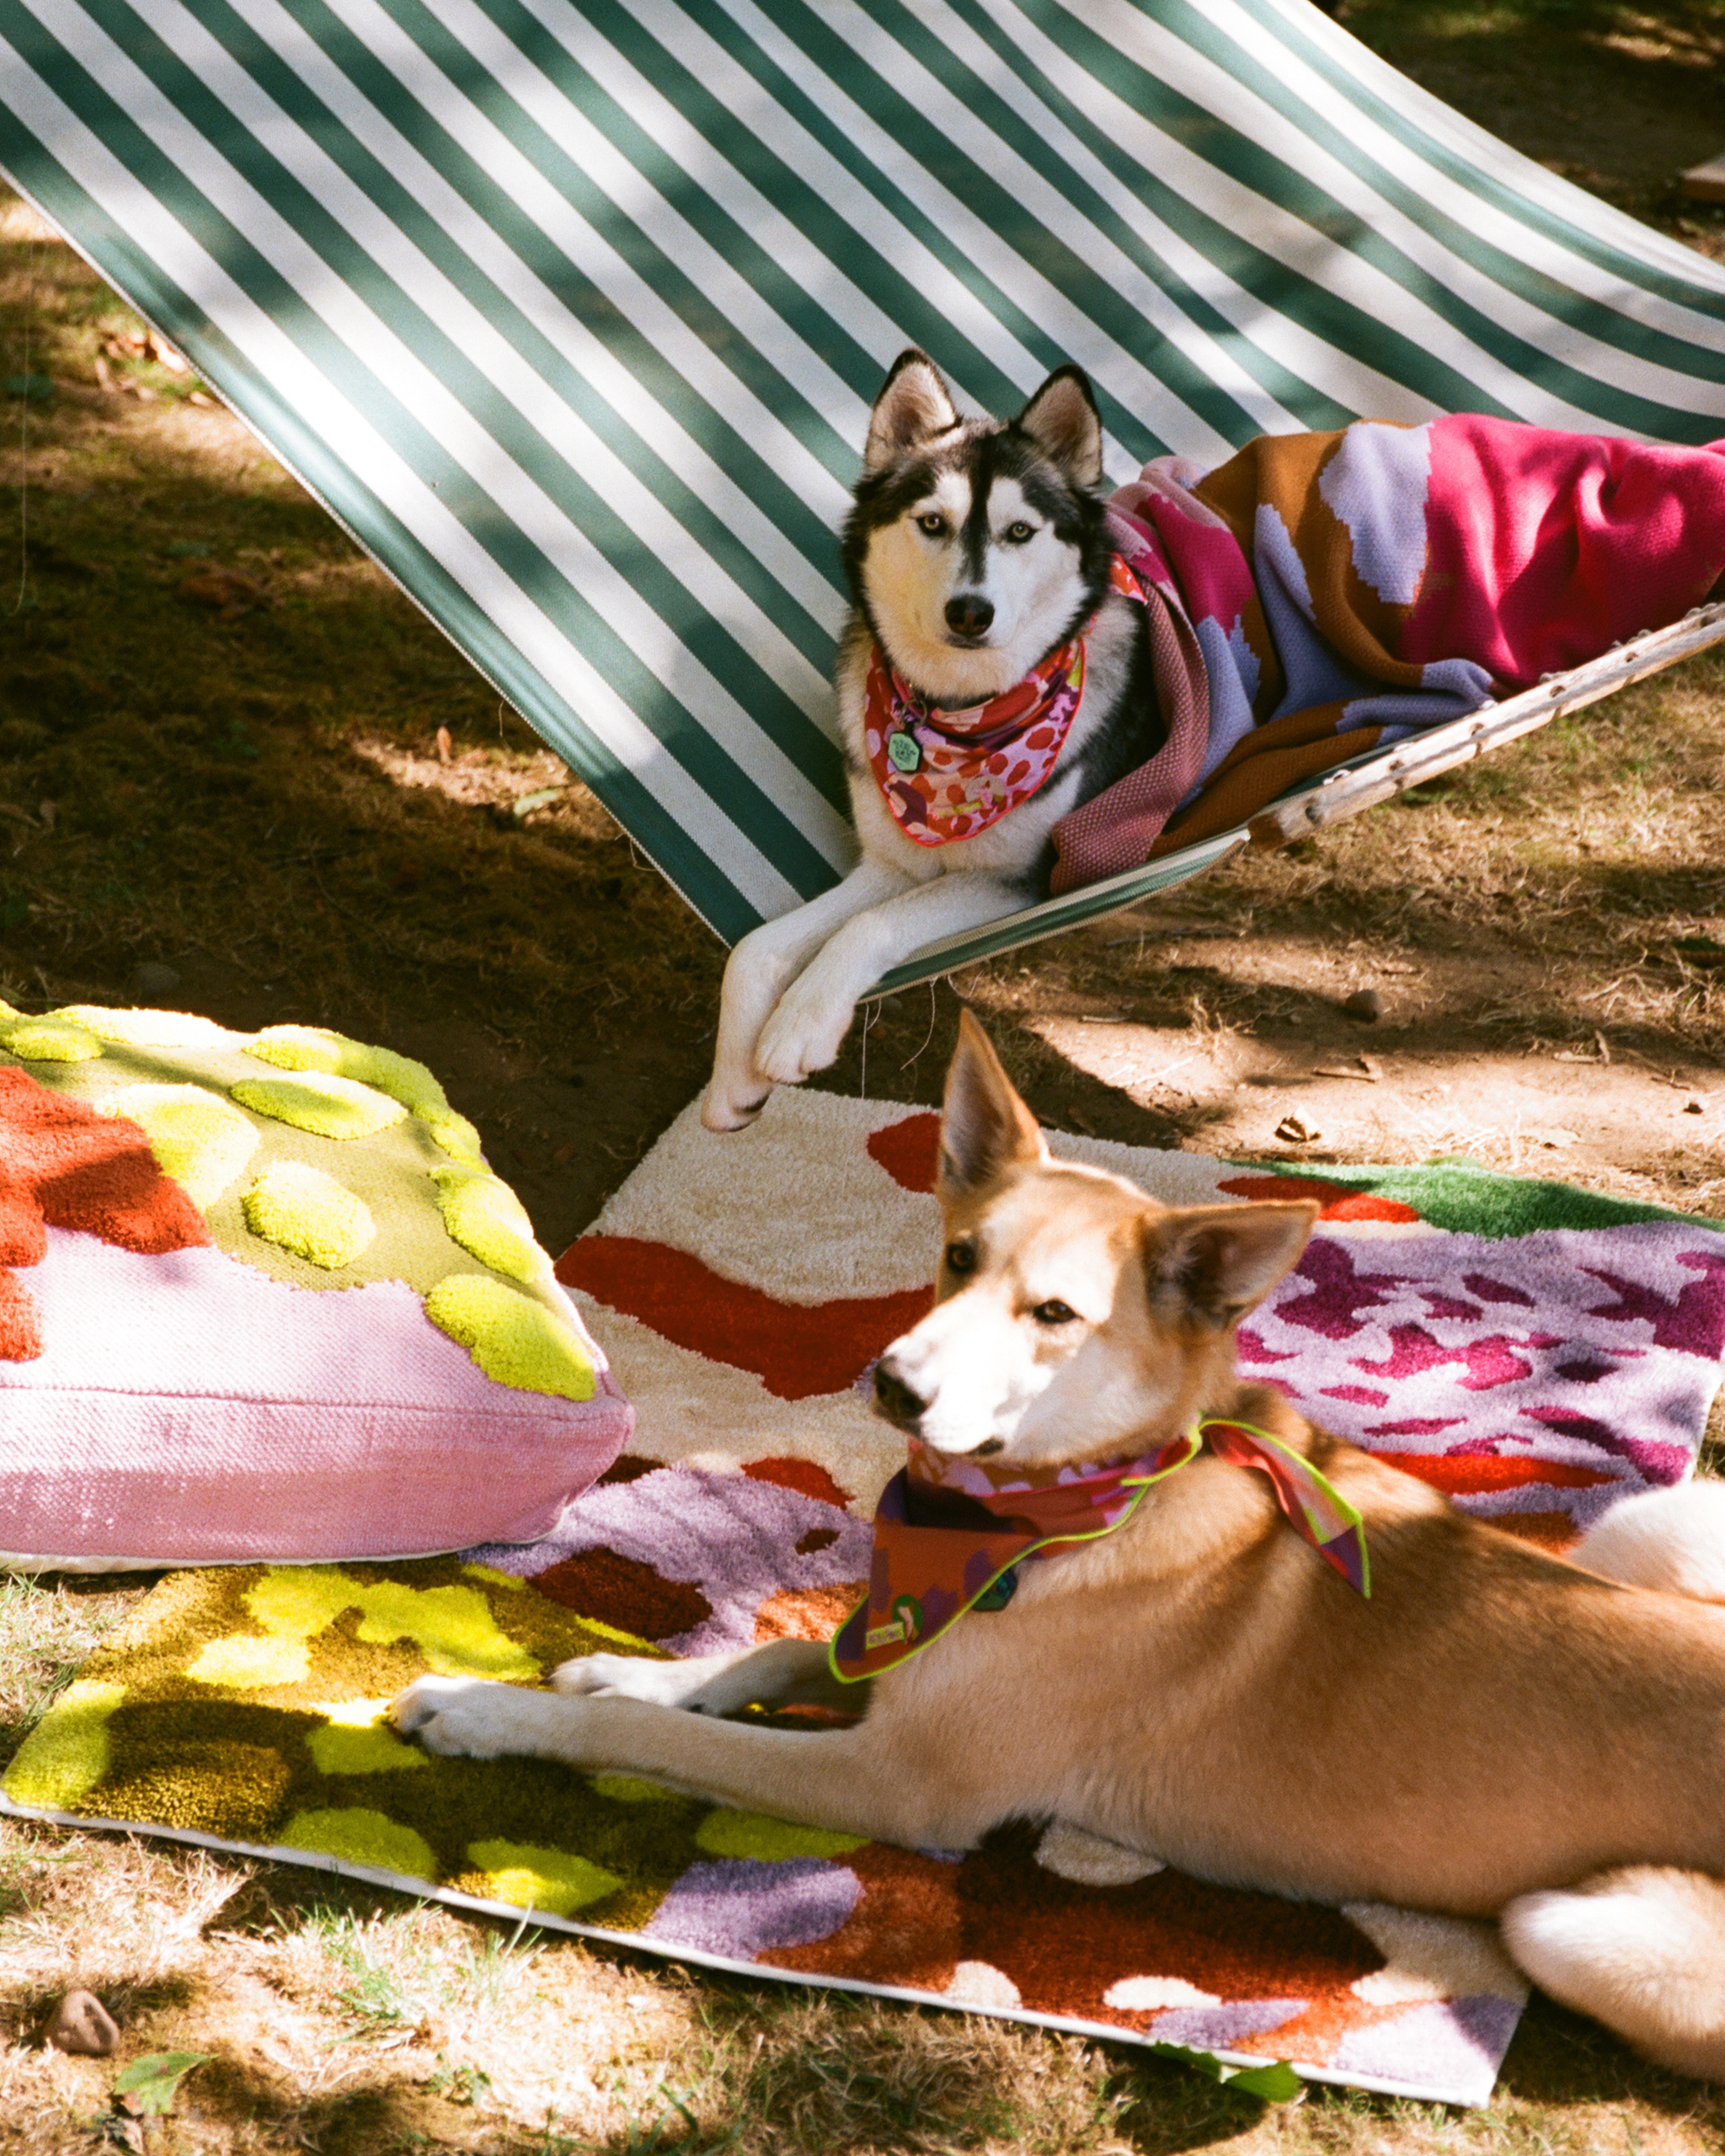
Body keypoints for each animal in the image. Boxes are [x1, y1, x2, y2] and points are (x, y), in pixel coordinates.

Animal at [401, 1017, 1725, 2078]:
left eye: (1053, 1316)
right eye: (957, 1256)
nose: (893, 1384)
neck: (1057, 1509)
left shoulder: (897, 1783)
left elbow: (662, 1739)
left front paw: (489, 1709)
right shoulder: (892, 1643)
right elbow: (769, 1653)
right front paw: (631, 1670)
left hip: (1572, 1921)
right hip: (1649, 1530)